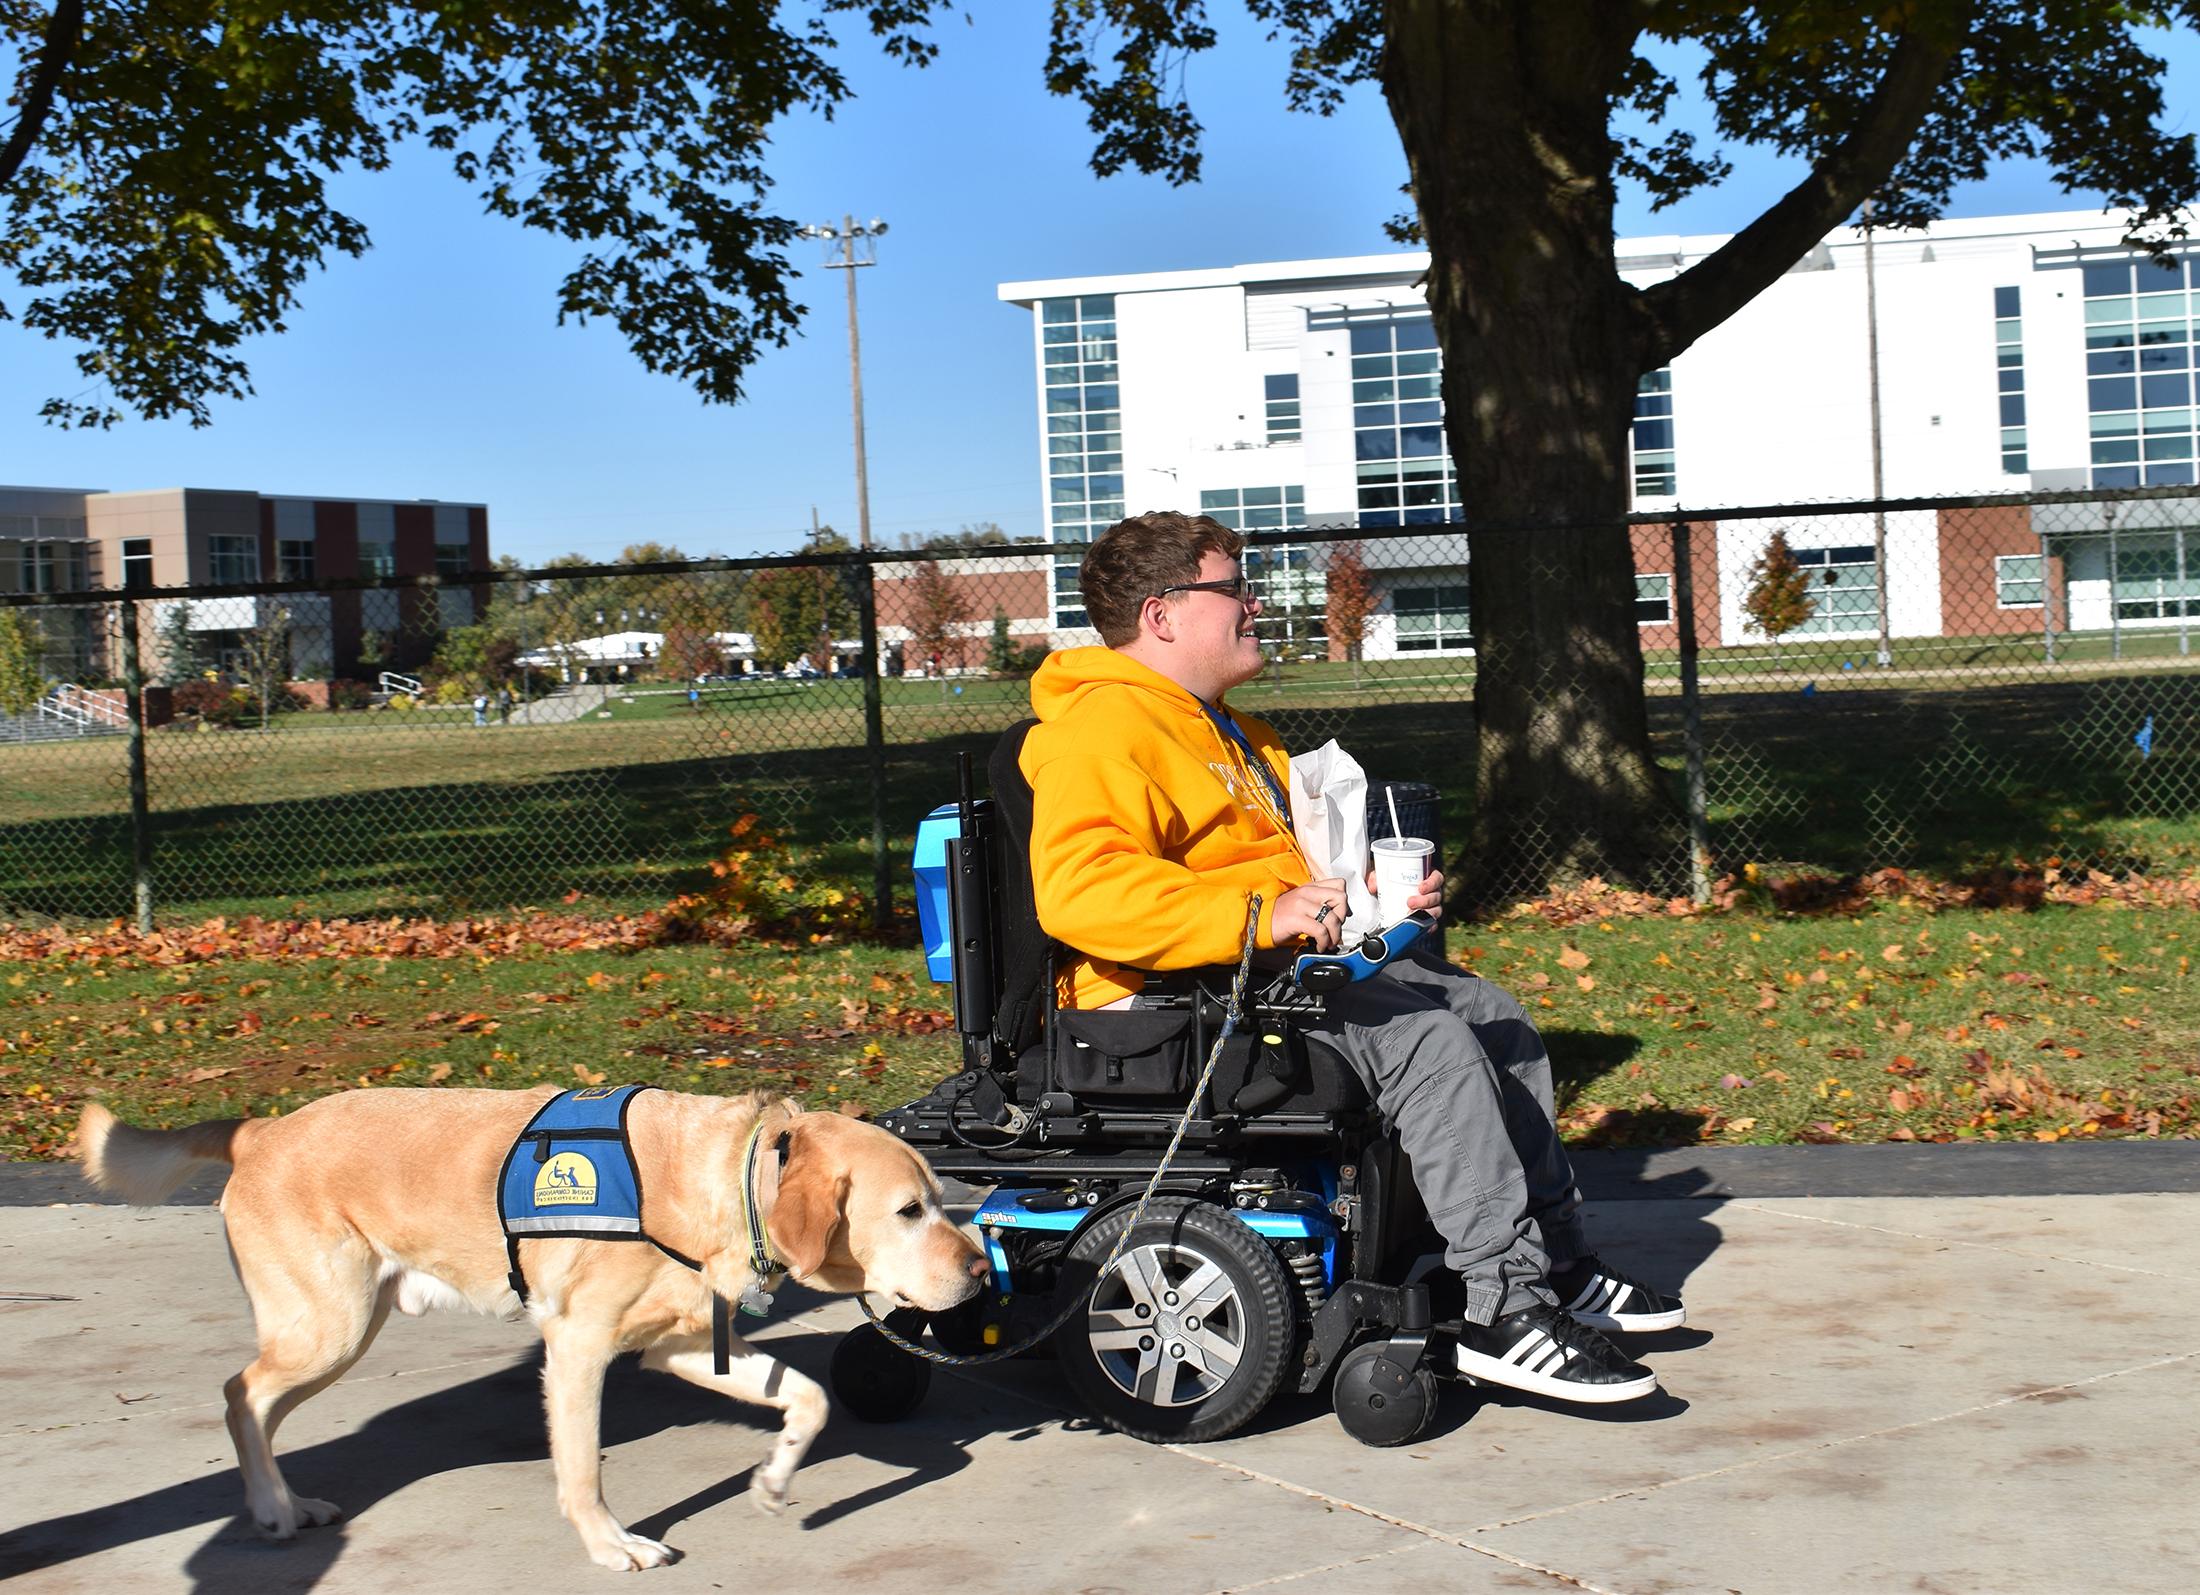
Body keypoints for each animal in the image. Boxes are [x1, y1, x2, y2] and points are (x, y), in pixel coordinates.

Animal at [77, 1082, 985, 1566]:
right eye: (910, 1210)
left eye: (940, 1200)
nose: (982, 1270)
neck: (726, 1181)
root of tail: (260, 1127)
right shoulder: (578, 1346)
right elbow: (581, 1469)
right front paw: (613, 1545)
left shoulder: (682, 1345)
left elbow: (810, 1398)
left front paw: (775, 1476)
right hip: (327, 1326)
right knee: (240, 1393)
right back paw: (270, 1506)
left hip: (339, 1329)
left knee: (258, 1404)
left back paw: (288, 1500)